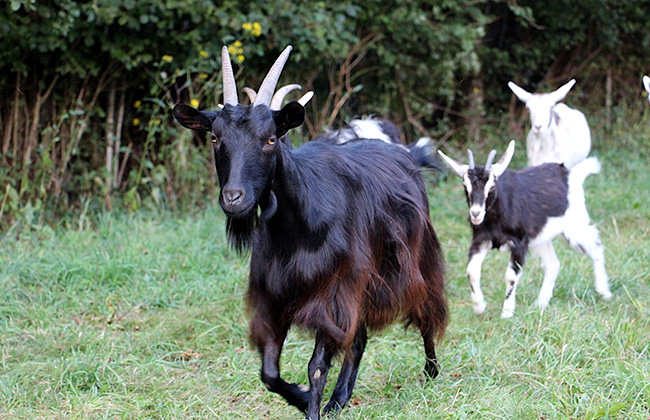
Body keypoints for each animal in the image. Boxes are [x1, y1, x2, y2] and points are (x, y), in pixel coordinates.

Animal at [172, 44, 446, 418]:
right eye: (215, 137)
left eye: (271, 139)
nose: (233, 197)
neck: (297, 225)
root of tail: (403, 153)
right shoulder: (275, 294)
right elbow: (269, 370)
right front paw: (303, 399)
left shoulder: (332, 290)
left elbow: (316, 365)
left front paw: (310, 407)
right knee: (358, 337)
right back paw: (339, 399)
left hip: (413, 258)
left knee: (426, 307)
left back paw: (431, 371)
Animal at [438, 139, 612, 316]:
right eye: (465, 186)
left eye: (492, 186)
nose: (475, 213)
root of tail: (572, 174)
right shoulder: (481, 240)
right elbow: (471, 271)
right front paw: (479, 306)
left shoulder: (519, 243)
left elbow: (510, 277)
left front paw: (507, 313)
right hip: (540, 237)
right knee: (553, 264)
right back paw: (541, 303)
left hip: (573, 226)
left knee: (595, 246)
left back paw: (604, 291)